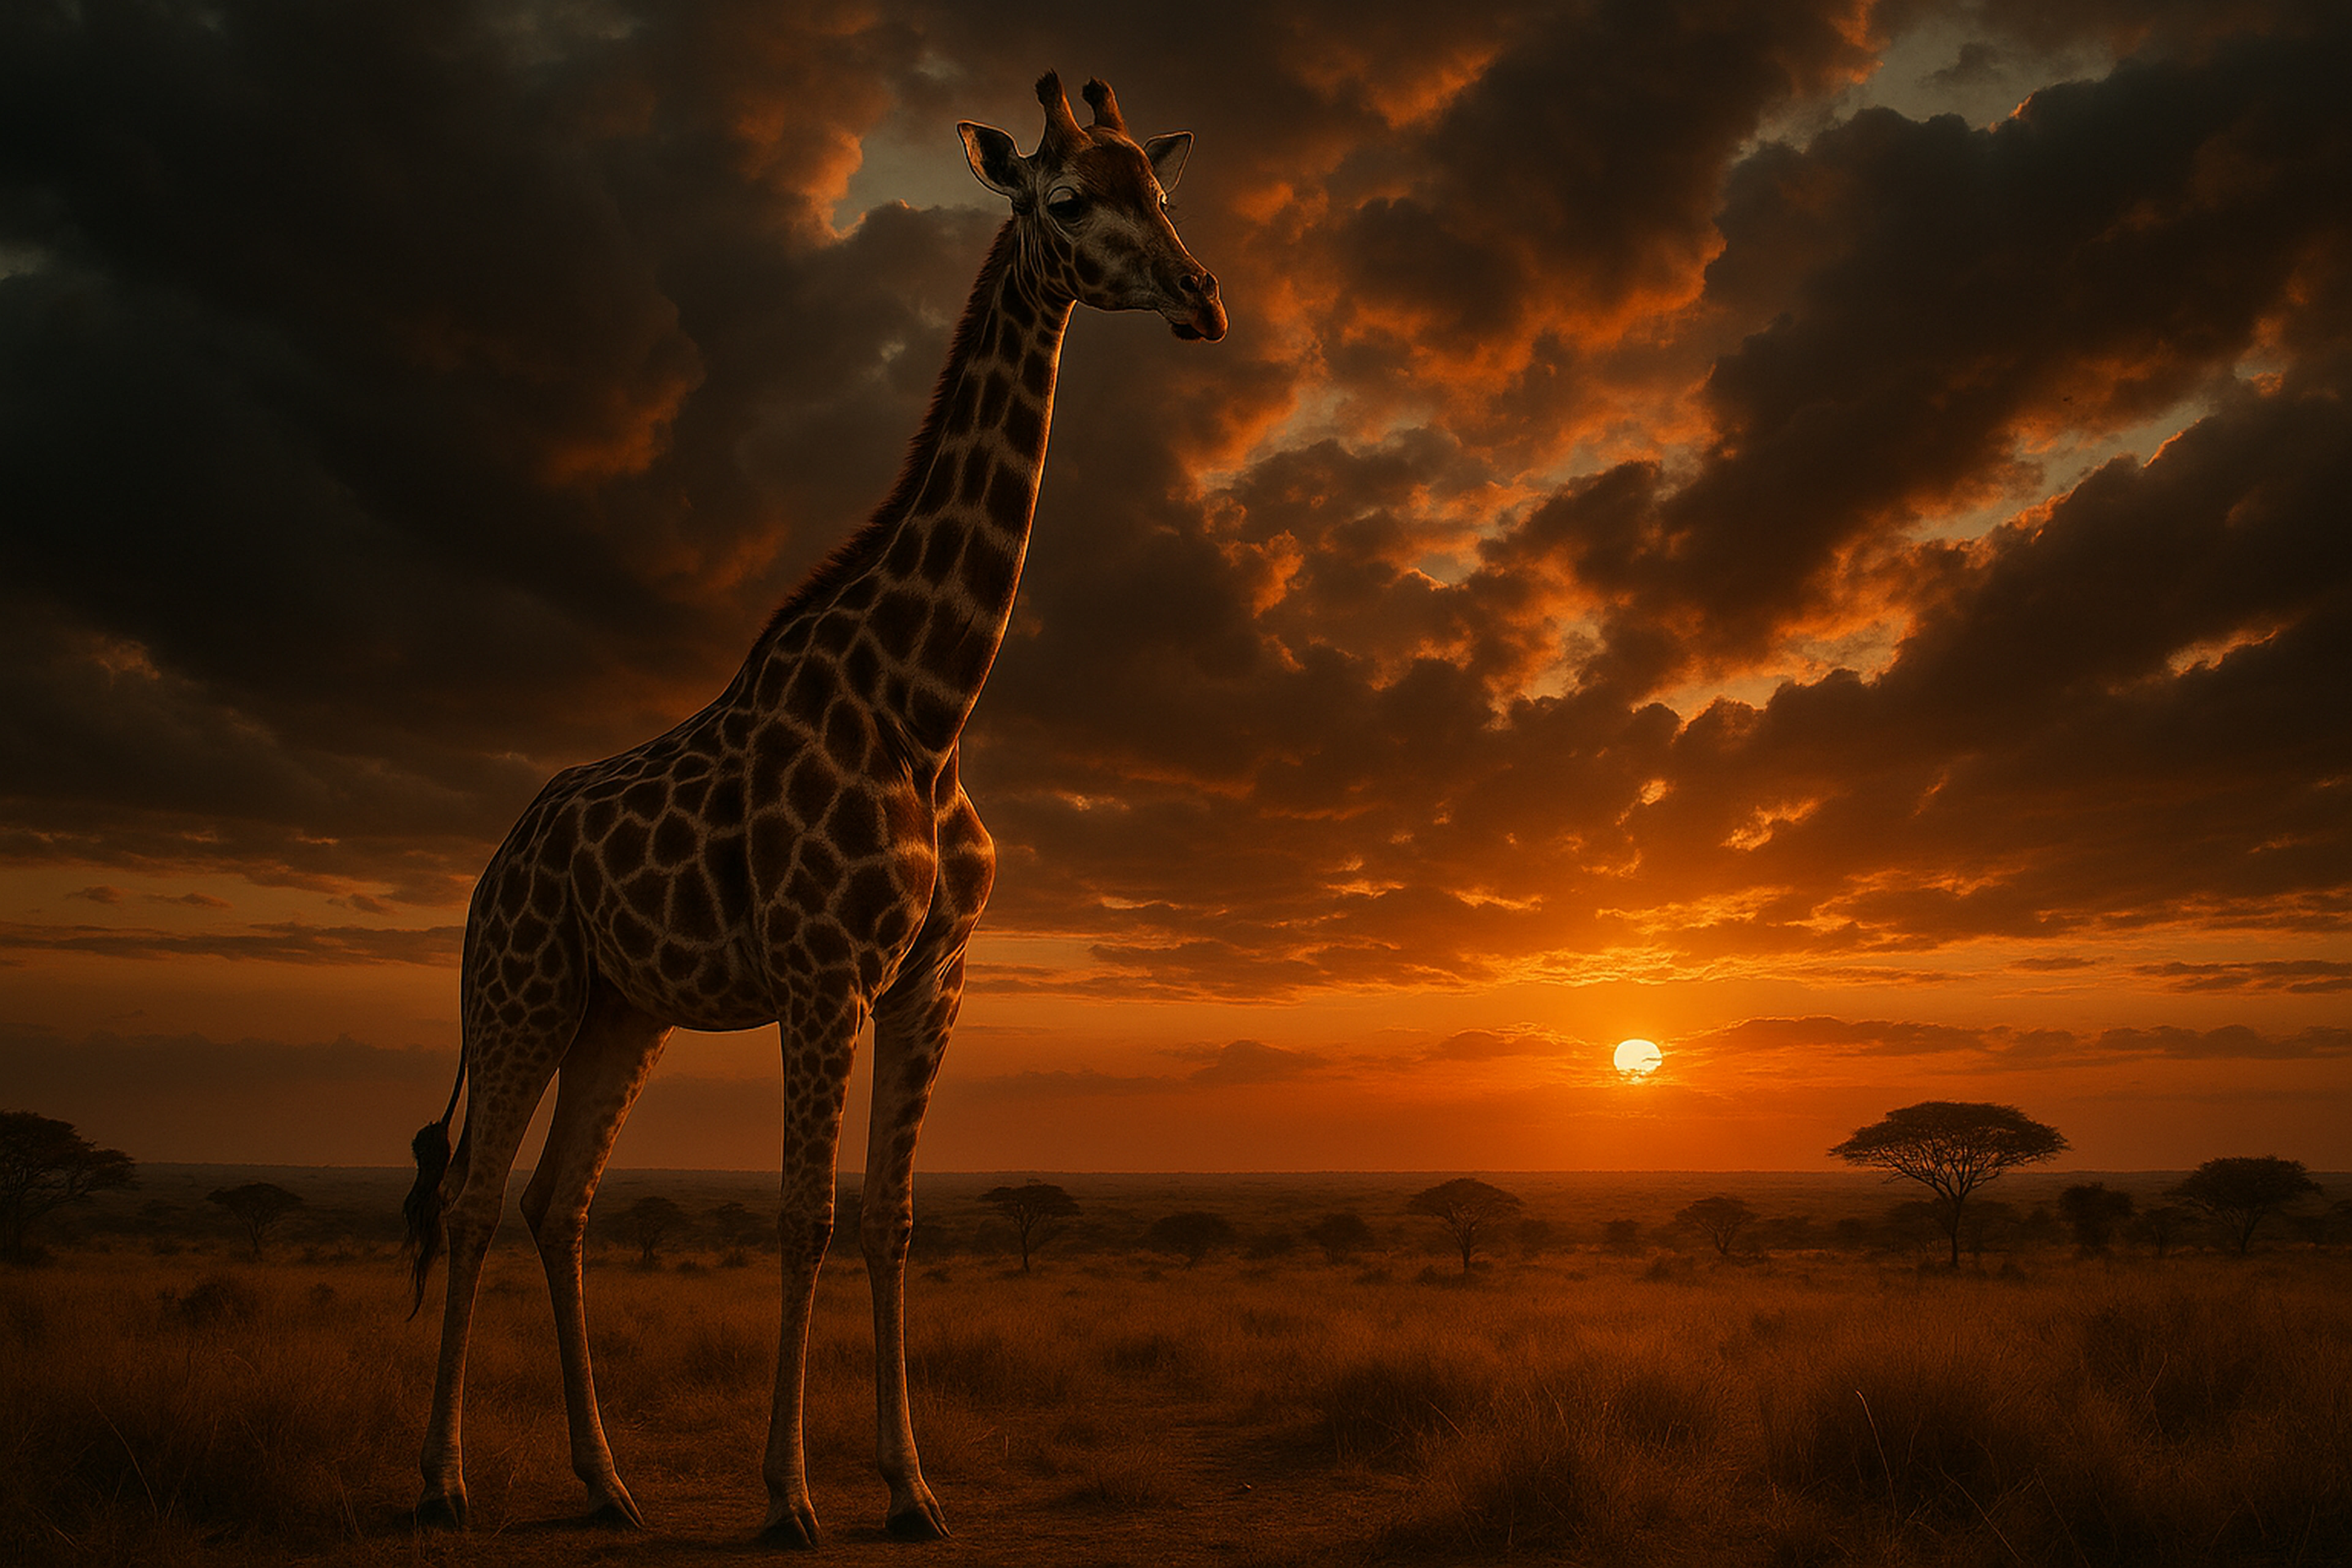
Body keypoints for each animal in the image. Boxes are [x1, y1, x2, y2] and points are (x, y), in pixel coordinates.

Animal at [400, 72, 1224, 1547]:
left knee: (560, 1201)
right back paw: (442, 1480)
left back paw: (606, 1481)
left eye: (1166, 188)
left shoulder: (929, 978)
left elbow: (888, 1220)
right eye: (1071, 201)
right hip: (519, 990)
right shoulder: (822, 972)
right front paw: (789, 1495)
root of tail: (496, 861)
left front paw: (911, 1487)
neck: (928, 705)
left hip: (623, 1009)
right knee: (475, 1197)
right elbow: (802, 1220)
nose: (1202, 295)